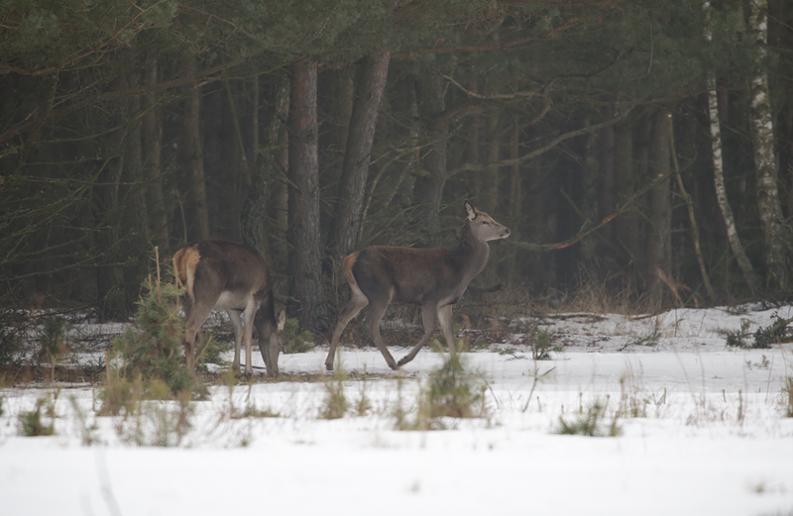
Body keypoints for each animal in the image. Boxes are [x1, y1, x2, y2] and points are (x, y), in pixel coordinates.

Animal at [172, 240, 286, 376]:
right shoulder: (253, 300)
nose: (275, 371)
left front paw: (236, 368)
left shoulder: (232, 307)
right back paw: (191, 372)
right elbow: (247, 334)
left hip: (181, 296)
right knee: (191, 327)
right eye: (280, 345)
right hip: (207, 294)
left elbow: (238, 331)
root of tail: (186, 253)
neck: (265, 300)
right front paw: (248, 371)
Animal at [324, 202, 510, 370]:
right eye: (485, 221)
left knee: (343, 316)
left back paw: (329, 363)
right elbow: (430, 330)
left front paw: (457, 365)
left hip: (360, 294)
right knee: (371, 324)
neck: (461, 269)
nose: (507, 229)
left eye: (492, 218)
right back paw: (393, 362)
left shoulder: (446, 303)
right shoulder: (430, 297)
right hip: (380, 291)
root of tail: (350, 259)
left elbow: (449, 332)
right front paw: (404, 359)